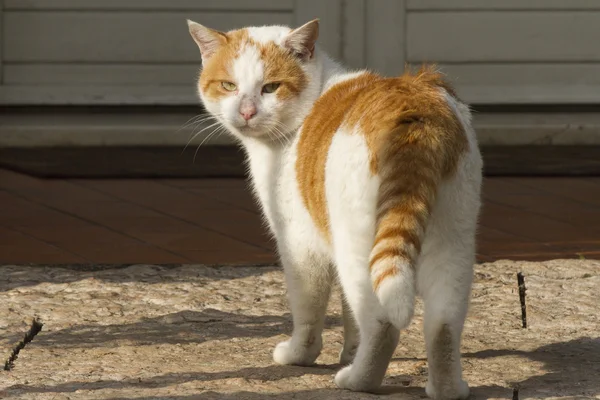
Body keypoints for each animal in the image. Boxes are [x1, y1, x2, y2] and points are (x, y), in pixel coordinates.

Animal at [188, 19, 482, 400]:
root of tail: (414, 109)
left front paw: (300, 355)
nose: (247, 112)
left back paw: (357, 381)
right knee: (443, 324)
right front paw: (350, 351)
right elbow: (348, 314)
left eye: (271, 87)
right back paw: (446, 388)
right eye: (229, 85)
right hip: (453, 241)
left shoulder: (300, 245)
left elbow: (308, 309)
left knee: (383, 324)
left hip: (356, 244)